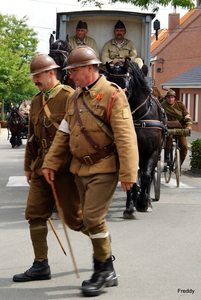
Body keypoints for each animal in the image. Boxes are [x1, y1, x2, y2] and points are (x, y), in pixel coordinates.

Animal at [106, 61, 167, 217]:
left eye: (124, 84)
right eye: (108, 81)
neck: (138, 117)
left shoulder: (153, 152)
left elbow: (146, 176)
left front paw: (143, 203)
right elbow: (131, 177)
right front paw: (130, 206)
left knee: (149, 175)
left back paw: (147, 200)